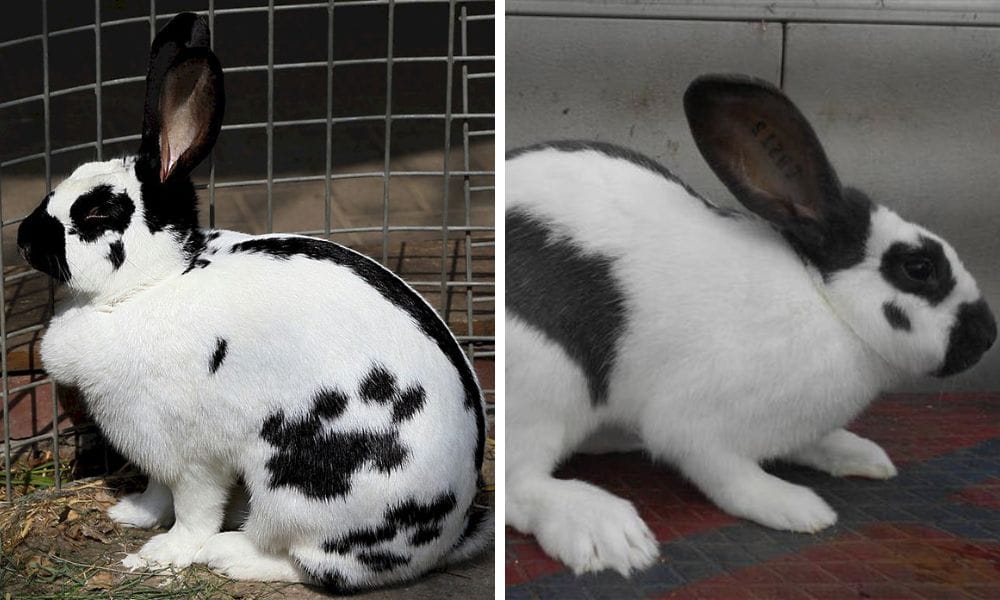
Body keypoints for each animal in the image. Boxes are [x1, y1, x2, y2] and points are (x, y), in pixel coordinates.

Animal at [15, 12, 490, 593]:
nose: (22, 238)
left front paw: (160, 555)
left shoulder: (192, 457)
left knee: (313, 563)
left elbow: (193, 510)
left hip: (298, 486)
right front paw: (131, 514)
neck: (154, 283)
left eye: (97, 212)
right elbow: (156, 492)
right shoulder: (155, 454)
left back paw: (229, 553)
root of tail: (445, 537)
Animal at [505, 74, 996, 577]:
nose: (987, 335)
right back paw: (606, 532)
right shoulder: (696, 424)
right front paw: (794, 506)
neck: (827, 303)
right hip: (543, 386)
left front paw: (860, 455)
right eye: (919, 267)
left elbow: (813, 443)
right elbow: (727, 475)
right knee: (518, 484)